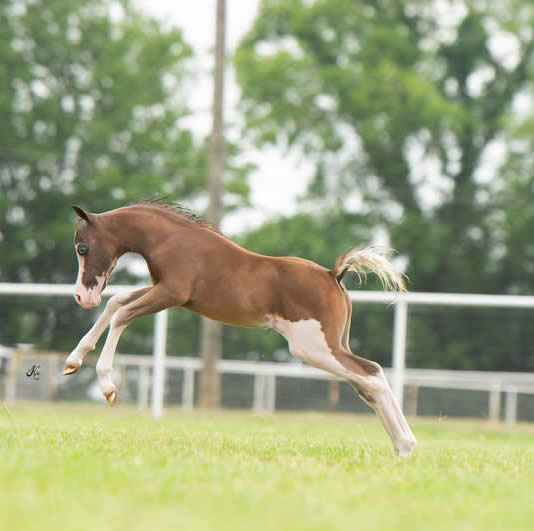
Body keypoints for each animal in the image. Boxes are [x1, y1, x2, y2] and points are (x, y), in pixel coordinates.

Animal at [65, 199, 416, 457]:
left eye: (82, 248)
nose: (82, 296)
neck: (171, 239)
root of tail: (334, 274)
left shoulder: (172, 294)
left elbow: (121, 314)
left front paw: (108, 386)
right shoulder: (161, 290)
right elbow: (115, 303)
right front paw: (73, 361)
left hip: (312, 347)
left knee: (370, 373)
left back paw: (406, 445)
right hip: (332, 345)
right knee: (368, 379)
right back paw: (402, 447)